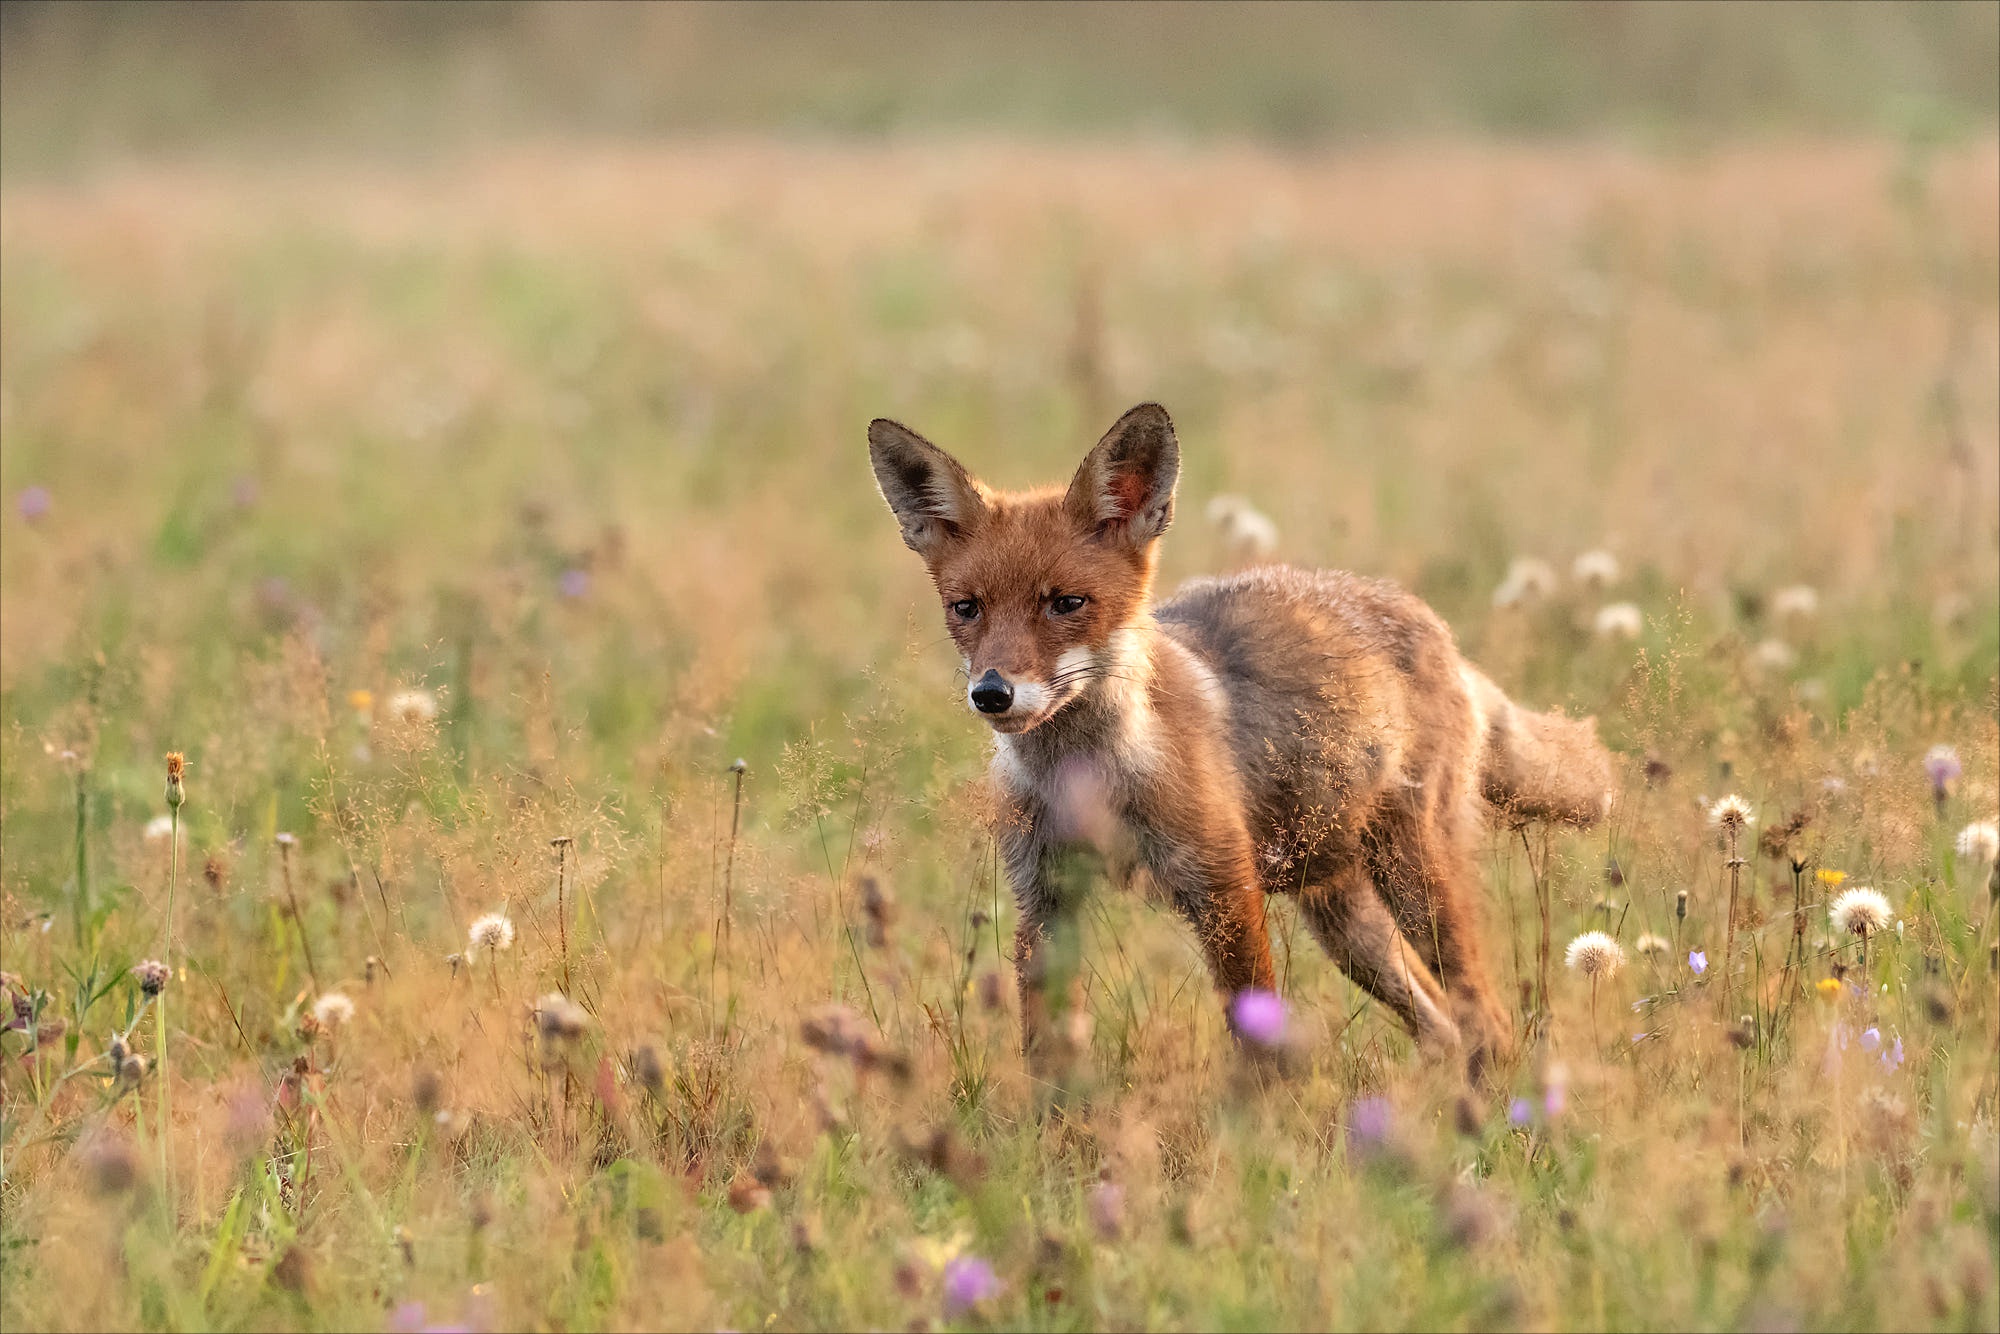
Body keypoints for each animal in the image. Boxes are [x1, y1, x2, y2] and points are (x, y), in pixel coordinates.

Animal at [868, 402, 1616, 1080]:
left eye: (1067, 604)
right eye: (966, 609)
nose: (993, 693)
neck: (1088, 778)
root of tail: (1438, 631)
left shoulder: (1224, 887)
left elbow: (1258, 1044)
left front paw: (1256, 1137)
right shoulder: (1046, 897)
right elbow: (1048, 1053)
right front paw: (1052, 1137)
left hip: (1413, 882)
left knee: (1485, 1019)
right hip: (1345, 919)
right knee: (1442, 1026)